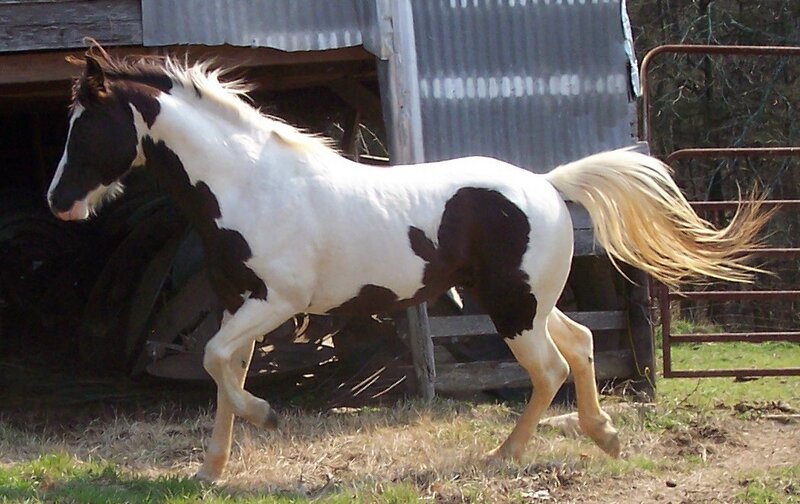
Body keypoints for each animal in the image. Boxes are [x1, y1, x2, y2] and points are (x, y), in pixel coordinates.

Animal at [46, 44, 770, 482]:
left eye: (85, 128)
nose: (58, 202)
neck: (250, 185)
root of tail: (545, 183)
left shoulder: (274, 304)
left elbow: (216, 364)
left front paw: (267, 419)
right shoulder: (237, 305)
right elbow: (224, 372)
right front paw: (212, 469)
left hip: (513, 309)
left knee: (551, 368)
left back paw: (503, 456)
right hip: (529, 301)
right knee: (584, 343)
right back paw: (604, 435)